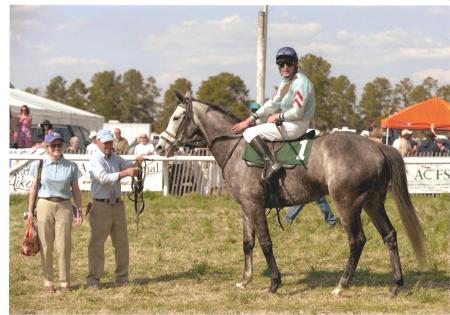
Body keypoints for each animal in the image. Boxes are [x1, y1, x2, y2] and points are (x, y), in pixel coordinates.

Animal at [156, 90, 428, 296]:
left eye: (177, 117)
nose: (160, 146)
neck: (236, 148)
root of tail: (378, 146)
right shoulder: (245, 208)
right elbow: (248, 243)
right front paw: (245, 280)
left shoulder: (254, 206)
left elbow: (265, 243)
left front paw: (274, 283)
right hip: (373, 203)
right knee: (389, 235)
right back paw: (395, 285)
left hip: (347, 204)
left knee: (357, 240)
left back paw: (342, 285)